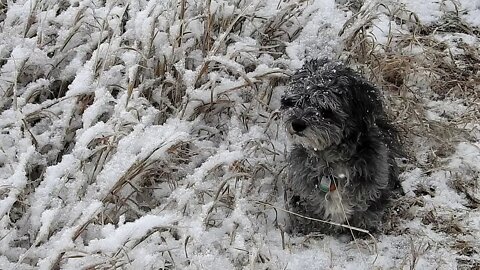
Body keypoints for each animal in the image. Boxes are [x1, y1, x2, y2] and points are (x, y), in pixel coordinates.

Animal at [280, 59, 404, 234]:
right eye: (296, 101)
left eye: (325, 109)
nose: (296, 124)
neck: (332, 161)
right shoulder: (303, 195)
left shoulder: (374, 190)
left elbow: (366, 217)